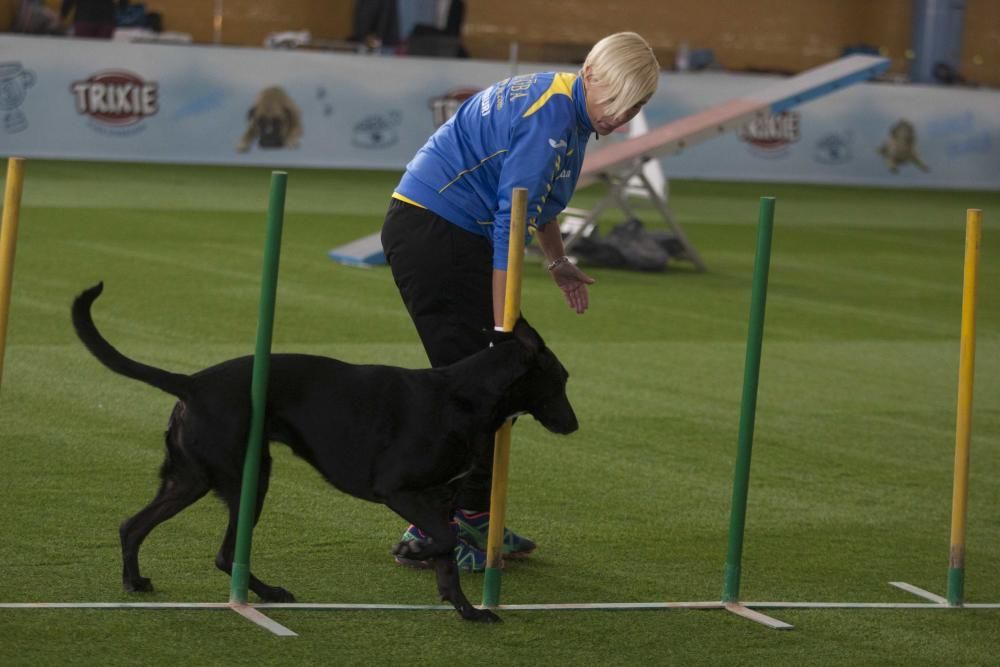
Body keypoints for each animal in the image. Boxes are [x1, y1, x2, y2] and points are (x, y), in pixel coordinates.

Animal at [72, 280, 580, 620]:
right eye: (561, 378)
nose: (573, 425)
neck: (464, 394)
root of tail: (192, 383)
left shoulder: (441, 498)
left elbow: (447, 560)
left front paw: (467, 612)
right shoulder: (398, 489)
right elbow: (445, 542)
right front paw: (414, 552)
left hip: (189, 479)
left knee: (133, 525)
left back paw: (135, 582)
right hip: (249, 479)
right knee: (222, 552)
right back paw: (267, 594)